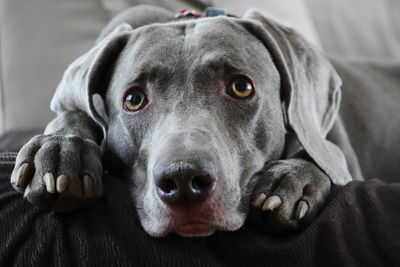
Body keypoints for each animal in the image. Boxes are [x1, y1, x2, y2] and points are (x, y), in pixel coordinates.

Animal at [9, 5, 374, 238]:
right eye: (133, 99)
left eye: (241, 87)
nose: (183, 180)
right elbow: (73, 112)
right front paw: (60, 151)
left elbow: (322, 154)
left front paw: (291, 181)